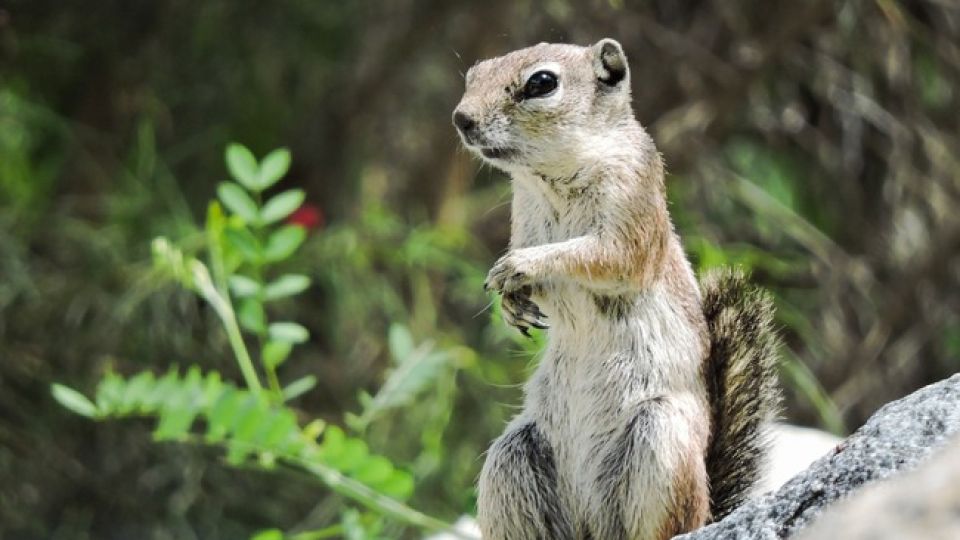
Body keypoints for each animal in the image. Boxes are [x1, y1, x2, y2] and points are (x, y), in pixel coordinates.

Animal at [454, 39, 784, 540]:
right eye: (474, 74)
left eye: (542, 83)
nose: (461, 118)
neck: (551, 178)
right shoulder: (525, 216)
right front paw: (512, 303)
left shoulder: (632, 207)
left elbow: (607, 258)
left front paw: (518, 267)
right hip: (511, 459)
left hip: (660, 441)